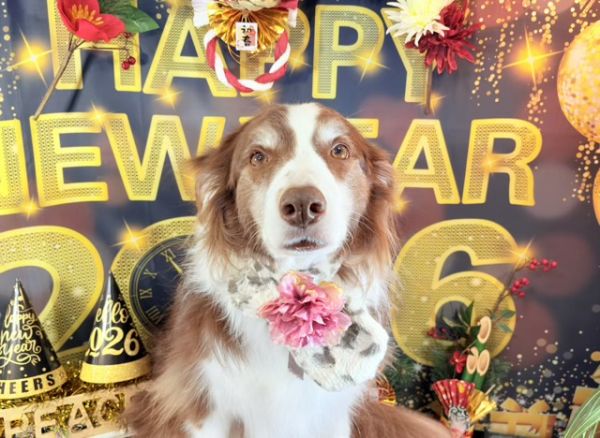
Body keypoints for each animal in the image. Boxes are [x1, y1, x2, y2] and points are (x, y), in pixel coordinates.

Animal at [126, 103, 449, 437]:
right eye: (258, 156)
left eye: (340, 150)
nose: (302, 205)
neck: (299, 281)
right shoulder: (204, 407)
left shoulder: (333, 415)